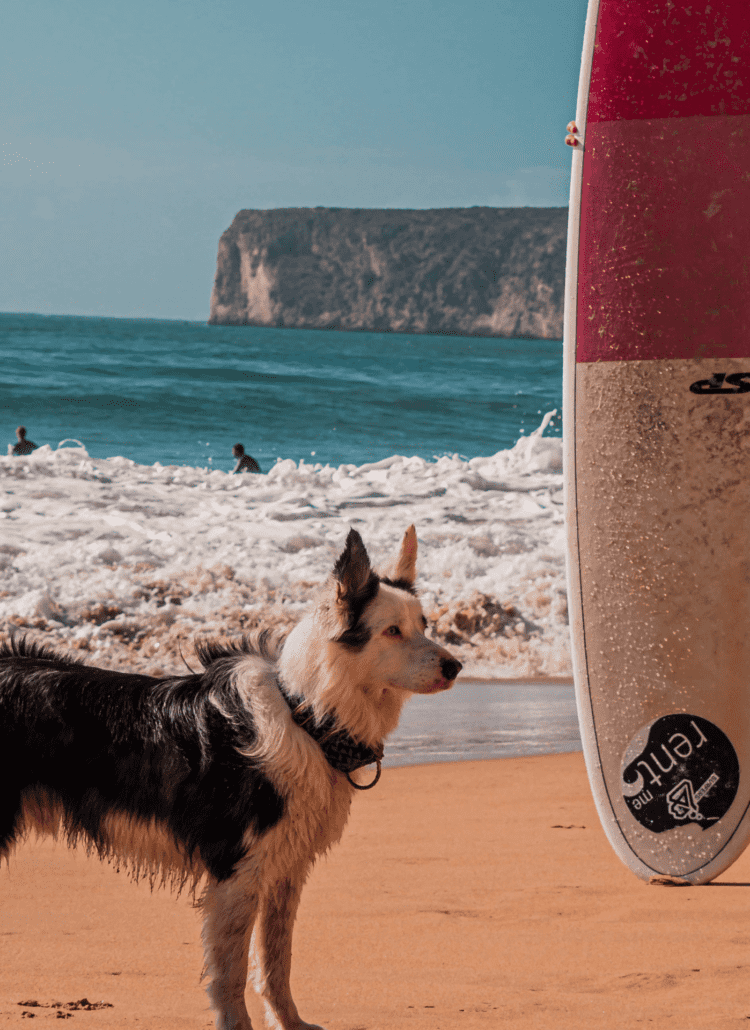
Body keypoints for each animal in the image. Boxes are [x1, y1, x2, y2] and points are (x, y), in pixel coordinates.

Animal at [0, 527, 463, 1025]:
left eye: (424, 625)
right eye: (392, 631)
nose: (456, 667)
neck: (306, 716)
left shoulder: (284, 869)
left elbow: (276, 960)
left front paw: (290, 1023)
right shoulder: (237, 870)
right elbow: (232, 972)